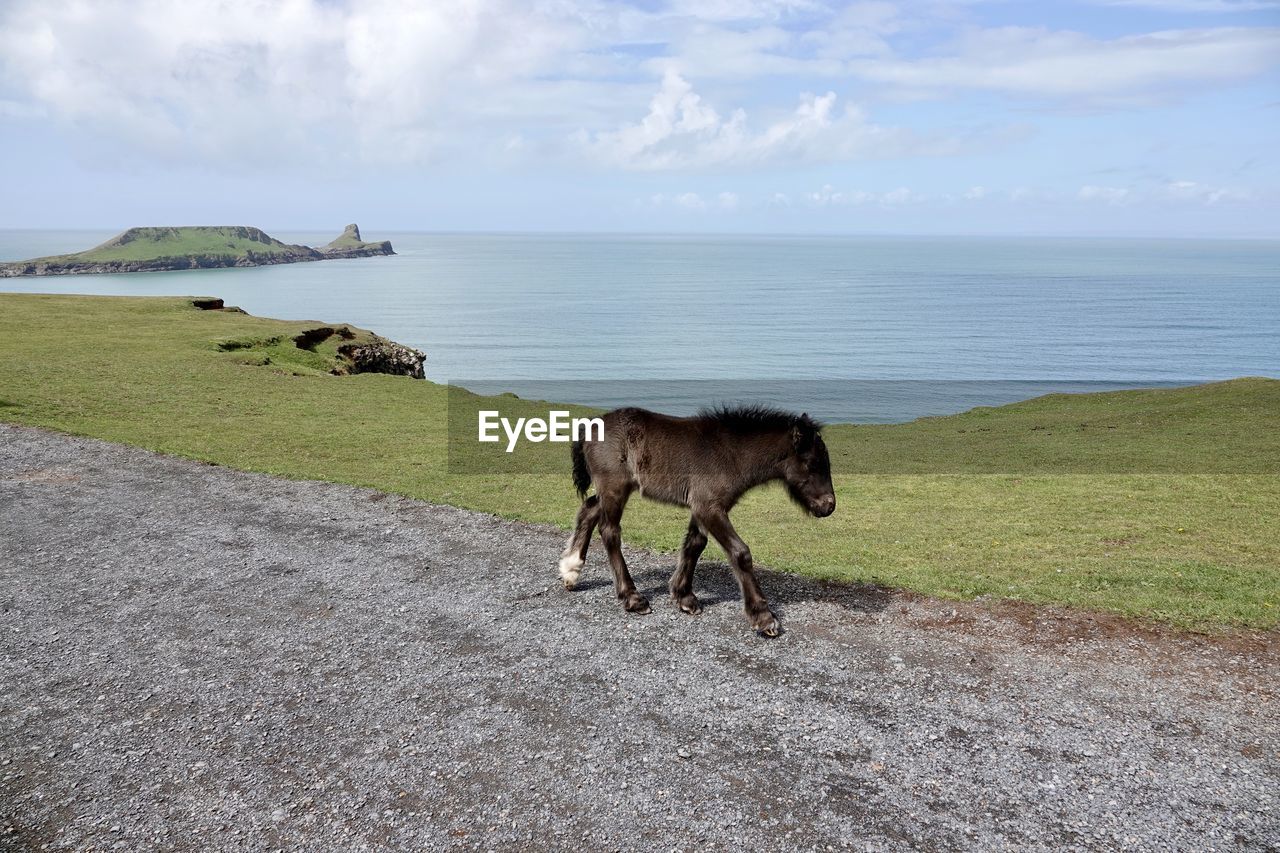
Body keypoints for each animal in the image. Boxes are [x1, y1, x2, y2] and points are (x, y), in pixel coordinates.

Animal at [555, 402, 834, 635]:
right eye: (812, 463)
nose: (829, 506)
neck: (732, 454)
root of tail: (589, 427)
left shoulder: (703, 508)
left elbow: (694, 544)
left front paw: (684, 596)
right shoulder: (708, 506)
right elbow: (740, 553)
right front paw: (763, 617)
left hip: (613, 490)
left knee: (590, 508)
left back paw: (571, 570)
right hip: (615, 487)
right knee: (610, 531)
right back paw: (633, 598)